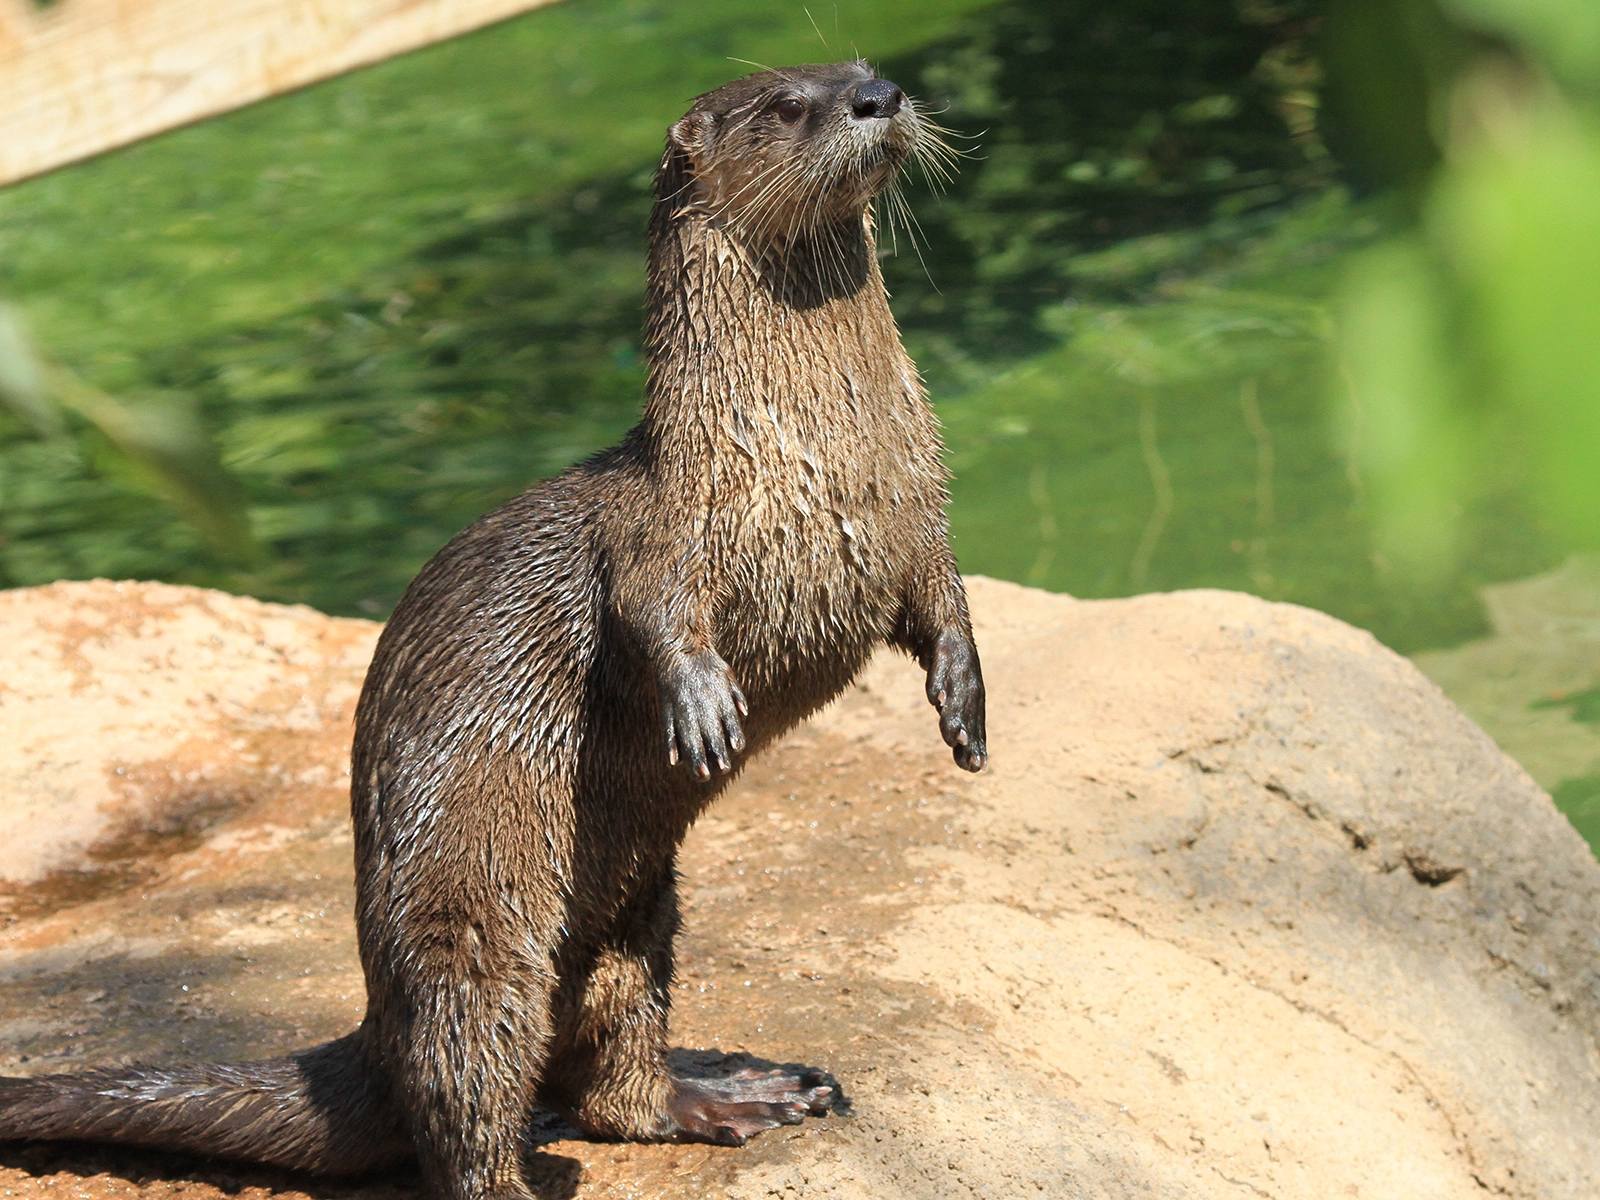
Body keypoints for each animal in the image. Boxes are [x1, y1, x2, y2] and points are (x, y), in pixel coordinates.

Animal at [0, 61, 985, 1200]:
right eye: (788, 105)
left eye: (861, 70)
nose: (879, 95)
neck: (812, 452)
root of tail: (369, 1029)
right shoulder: (662, 524)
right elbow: (651, 610)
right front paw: (701, 704)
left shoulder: (919, 511)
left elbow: (941, 599)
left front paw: (965, 702)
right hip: (469, 909)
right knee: (465, 1080)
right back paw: (522, 1168)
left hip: (641, 907)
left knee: (611, 1072)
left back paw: (733, 1093)